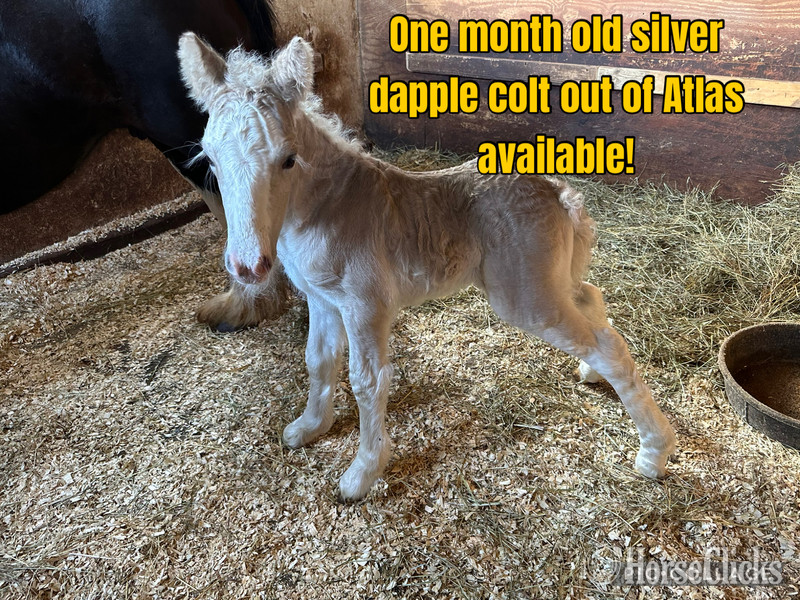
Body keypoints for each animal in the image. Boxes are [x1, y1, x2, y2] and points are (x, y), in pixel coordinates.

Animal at [177, 33, 677, 501]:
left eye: (288, 158)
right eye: (209, 158)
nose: (248, 266)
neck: (325, 207)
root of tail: (558, 190)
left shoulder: (366, 306)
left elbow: (367, 380)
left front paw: (362, 474)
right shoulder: (322, 300)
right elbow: (318, 362)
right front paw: (308, 427)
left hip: (524, 298)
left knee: (606, 343)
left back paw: (653, 452)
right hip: (548, 279)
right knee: (591, 300)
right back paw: (592, 373)